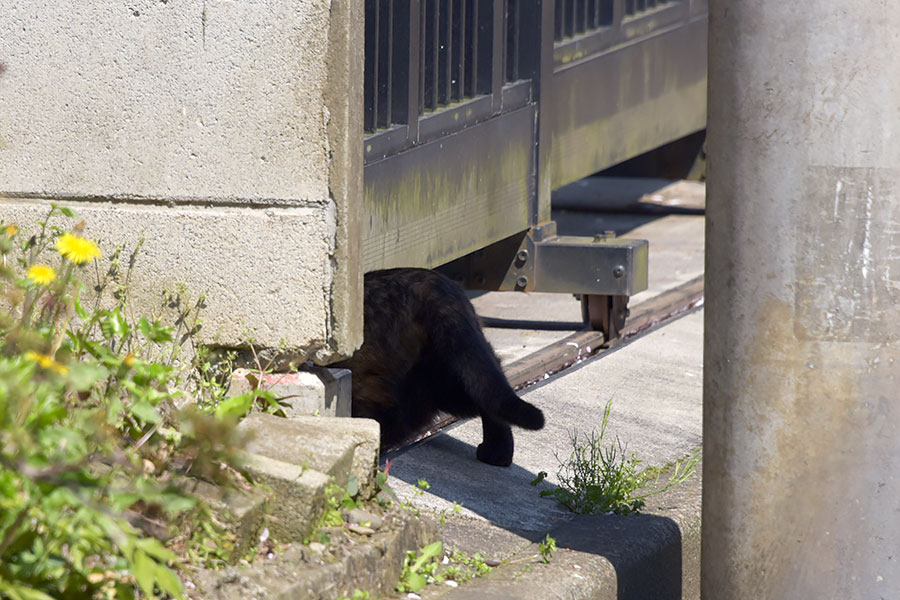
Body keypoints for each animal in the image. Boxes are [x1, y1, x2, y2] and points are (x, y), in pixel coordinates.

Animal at [338, 268, 544, 468]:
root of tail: (433, 288)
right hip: (452, 371)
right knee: (490, 397)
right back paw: (497, 453)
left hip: (378, 377)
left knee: (386, 418)